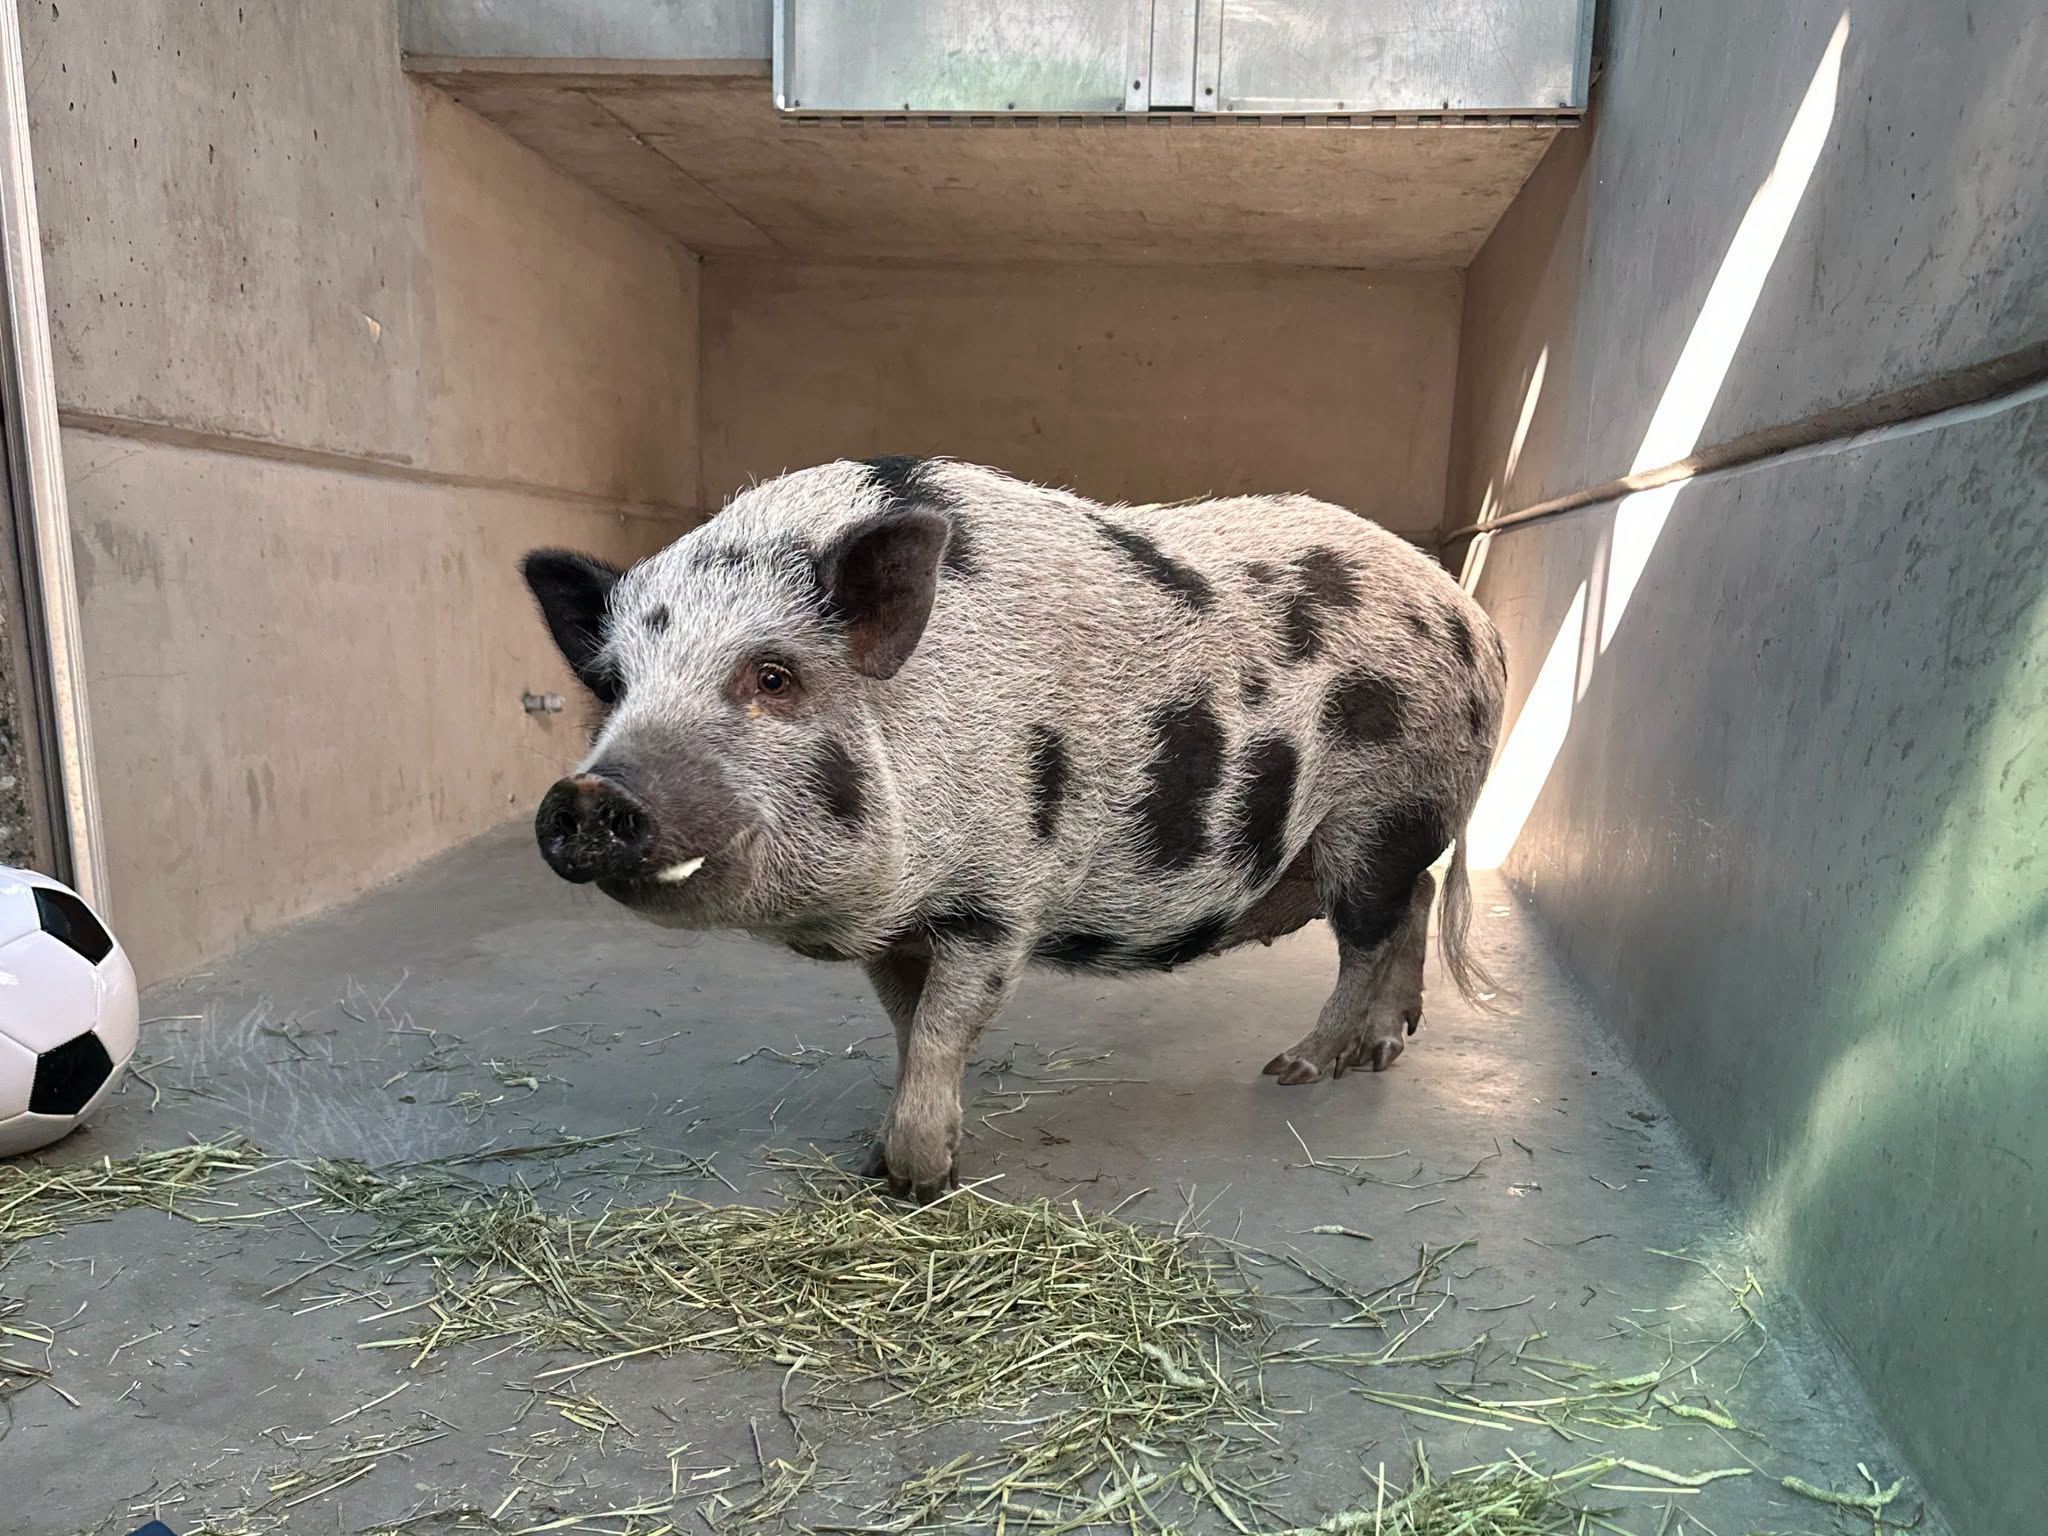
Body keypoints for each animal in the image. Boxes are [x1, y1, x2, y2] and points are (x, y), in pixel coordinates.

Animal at [520, 458, 1505, 1200]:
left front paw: (920, 1182)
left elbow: (946, 1030)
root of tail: (1473, 618)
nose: (586, 794)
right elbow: (908, 1031)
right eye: (611, 686)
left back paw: (1298, 1069)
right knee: (1411, 902)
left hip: (1383, 806)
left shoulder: (997, 902)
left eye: (772, 677)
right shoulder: (896, 929)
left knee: (1368, 930)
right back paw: (1386, 1047)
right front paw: (878, 1159)